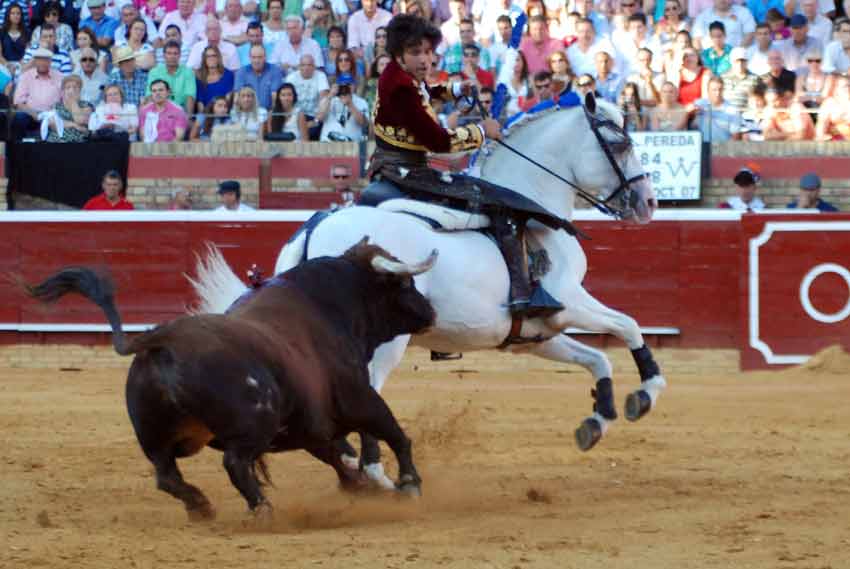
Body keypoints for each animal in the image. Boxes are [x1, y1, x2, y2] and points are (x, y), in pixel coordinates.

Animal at [24, 240, 438, 520]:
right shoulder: (357, 399)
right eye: (404, 284)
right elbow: (395, 434)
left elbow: (337, 455)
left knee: (167, 476)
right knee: (235, 465)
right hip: (253, 426)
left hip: (155, 438)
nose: (430, 312)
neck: (331, 306)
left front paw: (362, 486)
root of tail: (163, 339)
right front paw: (409, 485)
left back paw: (202, 507)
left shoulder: (310, 425)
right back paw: (262, 509)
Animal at [192, 93, 664, 488]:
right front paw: (645, 394)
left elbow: (597, 357)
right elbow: (629, 325)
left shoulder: (534, 334)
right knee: (366, 395)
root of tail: (316, 227)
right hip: (383, 346)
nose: (648, 203)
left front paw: (598, 420)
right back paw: (379, 475)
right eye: (621, 144)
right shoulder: (568, 303)